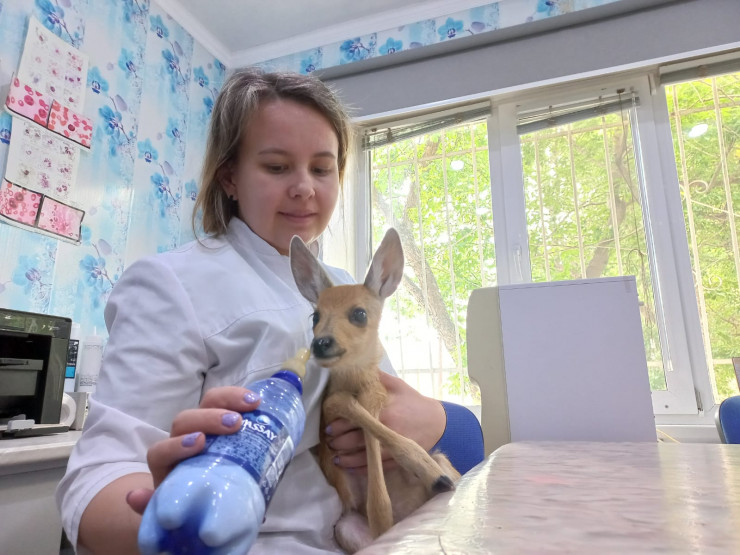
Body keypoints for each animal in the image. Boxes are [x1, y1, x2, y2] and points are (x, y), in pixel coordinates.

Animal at [289, 228, 460, 553]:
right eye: (315, 316)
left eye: (359, 314)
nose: (321, 343)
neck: (355, 380)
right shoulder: (329, 411)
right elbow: (346, 404)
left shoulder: (376, 394)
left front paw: (427, 472)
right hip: (345, 527)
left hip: (444, 457)